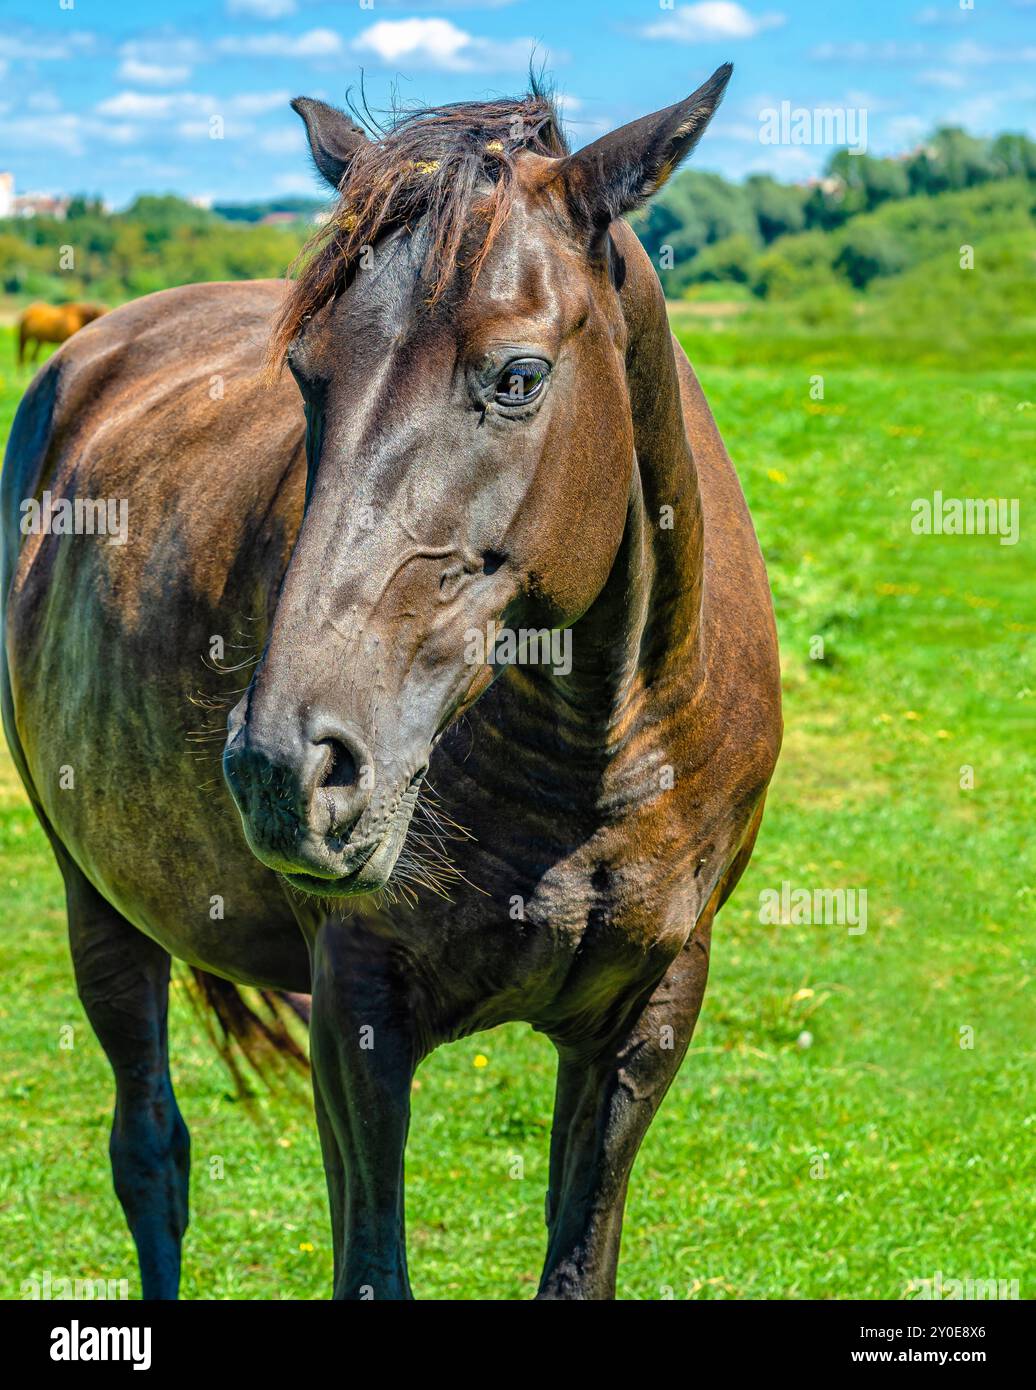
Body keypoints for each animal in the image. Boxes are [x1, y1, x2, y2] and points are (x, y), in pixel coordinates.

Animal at [2, 62, 778, 1301]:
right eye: (307, 378)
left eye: (519, 377)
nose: (287, 767)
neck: (587, 755)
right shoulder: (361, 1012)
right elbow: (368, 1263)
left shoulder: (647, 1018)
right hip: (97, 897)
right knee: (150, 1152)